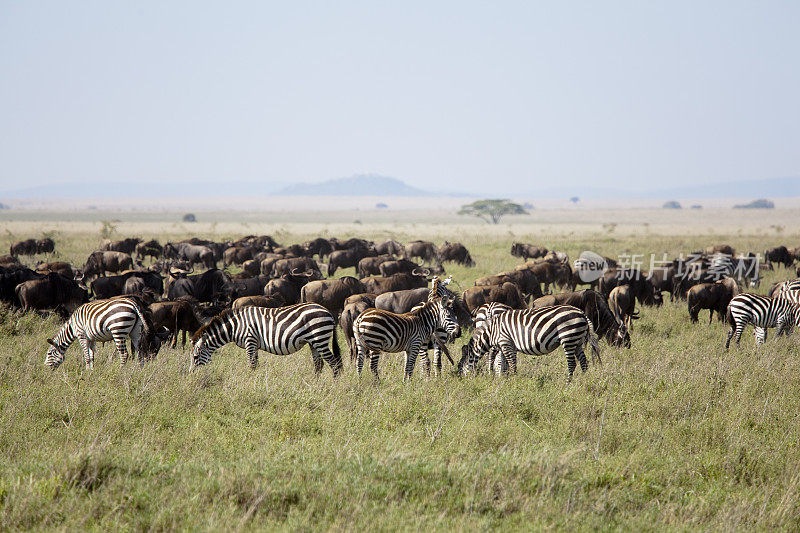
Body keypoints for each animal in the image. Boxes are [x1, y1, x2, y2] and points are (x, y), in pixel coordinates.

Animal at [189, 304, 342, 374]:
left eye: (195, 357)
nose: (191, 375)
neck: (235, 326)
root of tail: (327, 311)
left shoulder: (250, 339)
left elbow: (251, 364)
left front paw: (250, 383)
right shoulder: (254, 343)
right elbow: (256, 364)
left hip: (319, 338)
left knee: (334, 364)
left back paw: (333, 386)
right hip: (313, 342)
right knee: (319, 365)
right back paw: (315, 384)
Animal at [456, 304, 600, 378]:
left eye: (460, 365)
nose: (463, 380)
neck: (492, 331)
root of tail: (582, 313)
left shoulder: (505, 342)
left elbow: (510, 364)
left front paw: (513, 381)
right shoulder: (509, 345)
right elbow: (504, 361)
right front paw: (503, 377)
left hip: (568, 337)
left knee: (572, 364)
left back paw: (568, 384)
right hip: (578, 340)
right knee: (583, 362)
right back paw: (582, 382)